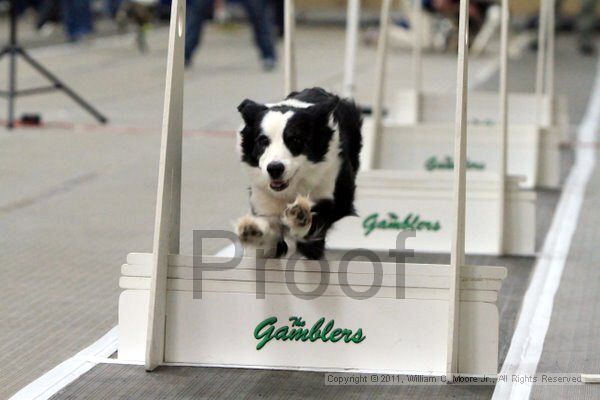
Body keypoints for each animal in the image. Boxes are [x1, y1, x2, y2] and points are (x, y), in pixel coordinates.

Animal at [237, 87, 364, 260]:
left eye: (296, 140)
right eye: (263, 141)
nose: (274, 168)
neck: (292, 188)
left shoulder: (336, 197)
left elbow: (315, 222)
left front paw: (300, 216)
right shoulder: (264, 201)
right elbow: (268, 242)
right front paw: (252, 231)